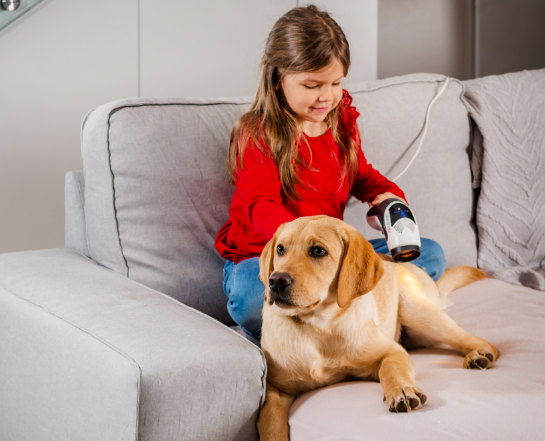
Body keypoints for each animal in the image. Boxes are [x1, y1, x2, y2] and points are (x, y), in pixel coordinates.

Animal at [255, 215, 498, 438]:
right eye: (280, 249)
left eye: (318, 251)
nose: (275, 281)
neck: (316, 326)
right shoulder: (275, 387)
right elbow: (271, 415)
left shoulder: (391, 351)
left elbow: (390, 369)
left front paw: (401, 390)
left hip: (417, 310)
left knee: (470, 338)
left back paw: (478, 354)